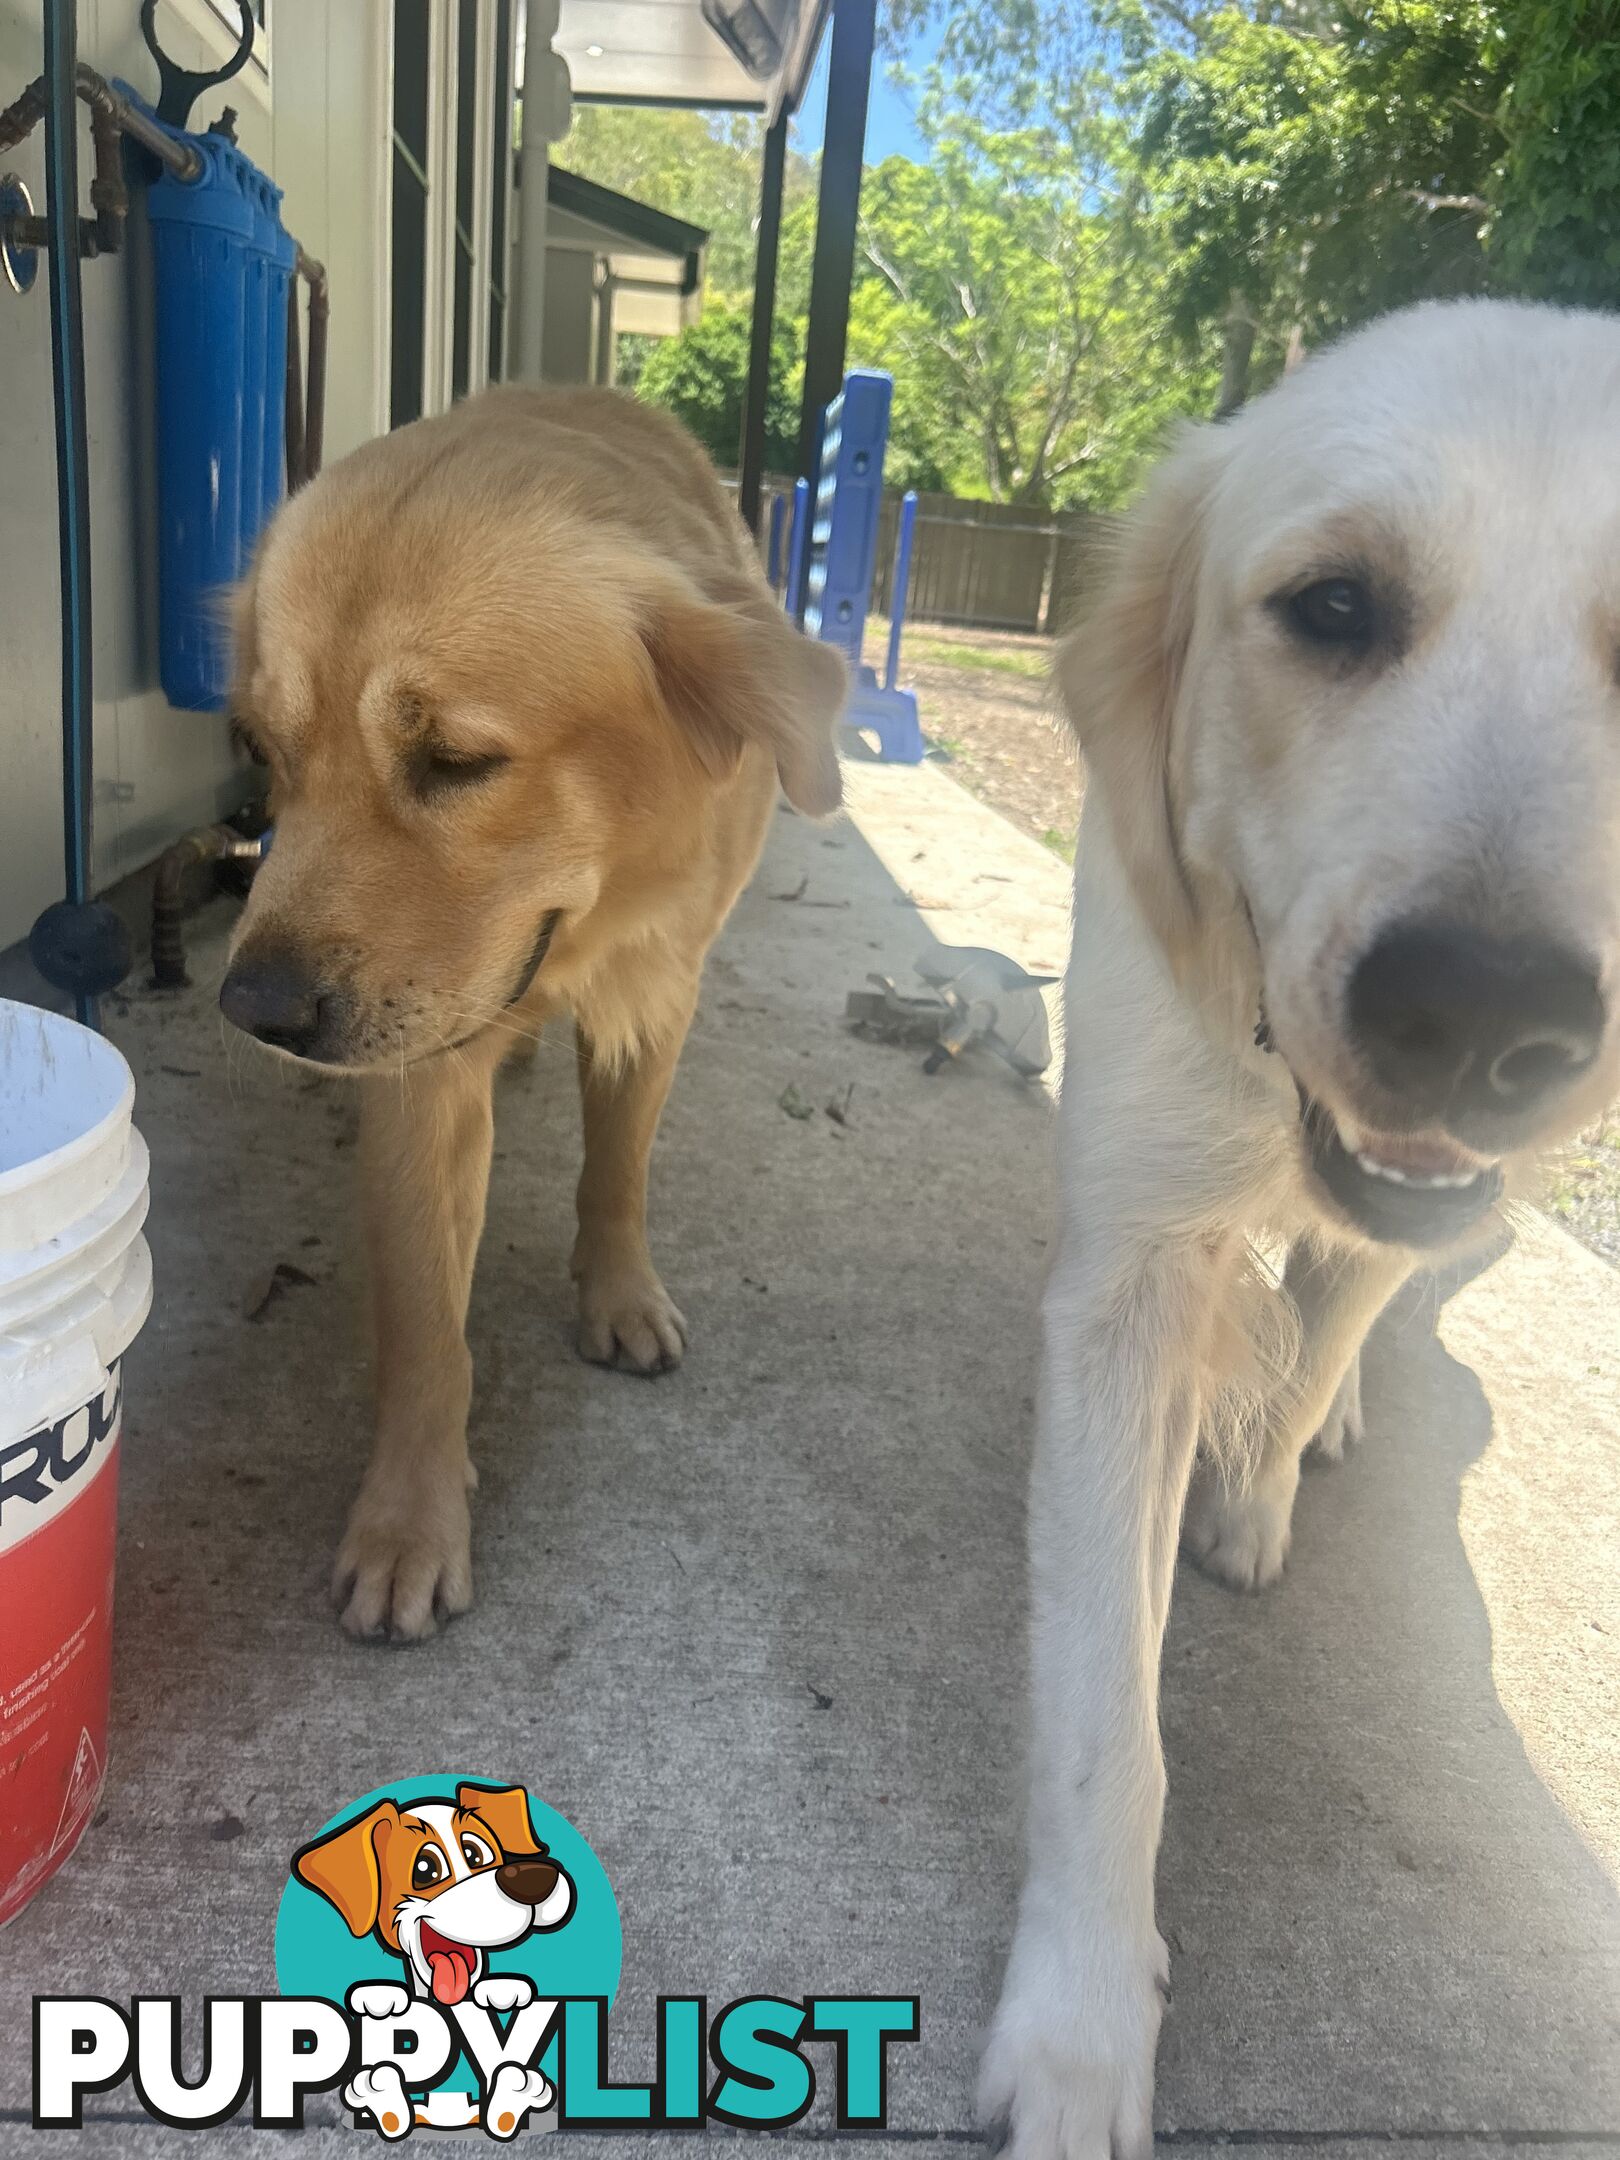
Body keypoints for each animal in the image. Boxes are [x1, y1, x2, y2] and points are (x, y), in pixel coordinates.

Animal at [225, 388, 851, 1632]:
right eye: (263, 750)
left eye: (455, 760)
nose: (251, 1009)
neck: (586, 918)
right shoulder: (424, 1069)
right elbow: (427, 1328)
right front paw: (411, 1519)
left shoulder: (657, 987)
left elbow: (618, 1168)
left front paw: (618, 1292)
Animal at [976, 304, 1620, 2160]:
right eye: (1334, 607)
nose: (1478, 1017)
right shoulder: (1125, 1283)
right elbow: (1104, 1734)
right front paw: (1081, 2032)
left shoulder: (1409, 1210)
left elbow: (1336, 1307)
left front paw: (1255, 1490)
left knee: (1352, 1301)